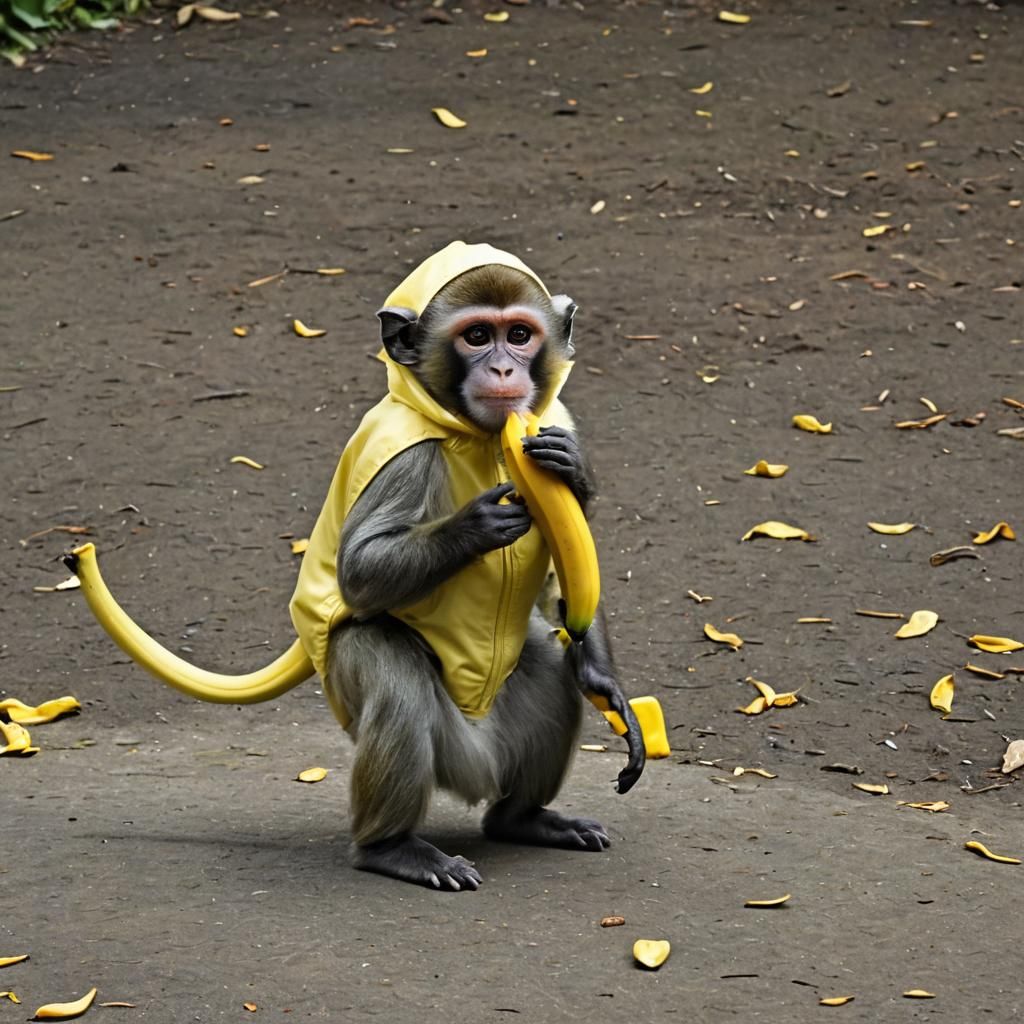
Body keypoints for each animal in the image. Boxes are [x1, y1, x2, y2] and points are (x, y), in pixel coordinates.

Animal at [288, 242, 645, 891]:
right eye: (478, 335)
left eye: (520, 335)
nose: (504, 371)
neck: (480, 436)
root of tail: (474, 767)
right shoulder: (403, 458)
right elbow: (358, 568)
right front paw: (475, 526)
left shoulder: (554, 418)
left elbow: (560, 578)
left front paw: (605, 682)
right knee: (395, 679)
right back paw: (391, 848)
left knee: (550, 662)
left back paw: (523, 818)